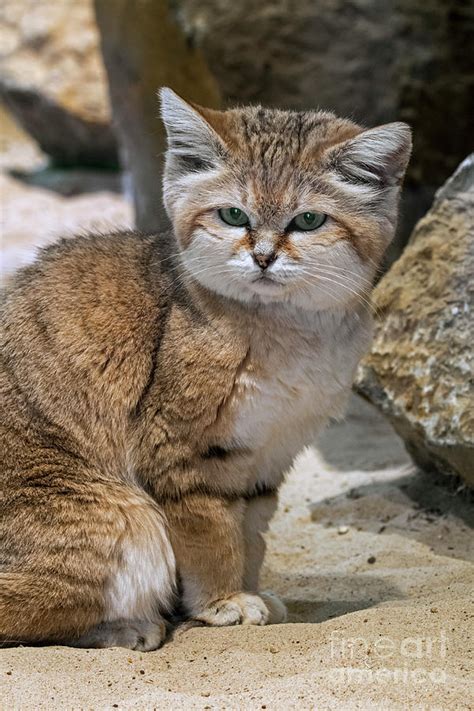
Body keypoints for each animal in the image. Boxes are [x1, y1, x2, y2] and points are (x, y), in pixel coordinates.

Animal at [0, 89, 410, 652]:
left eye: (308, 221)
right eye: (233, 215)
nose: (263, 257)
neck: (289, 331)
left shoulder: (268, 455)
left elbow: (250, 535)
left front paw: (251, 593)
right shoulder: (184, 453)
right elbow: (213, 535)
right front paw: (223, 601)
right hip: (126, 518)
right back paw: (127, 626)